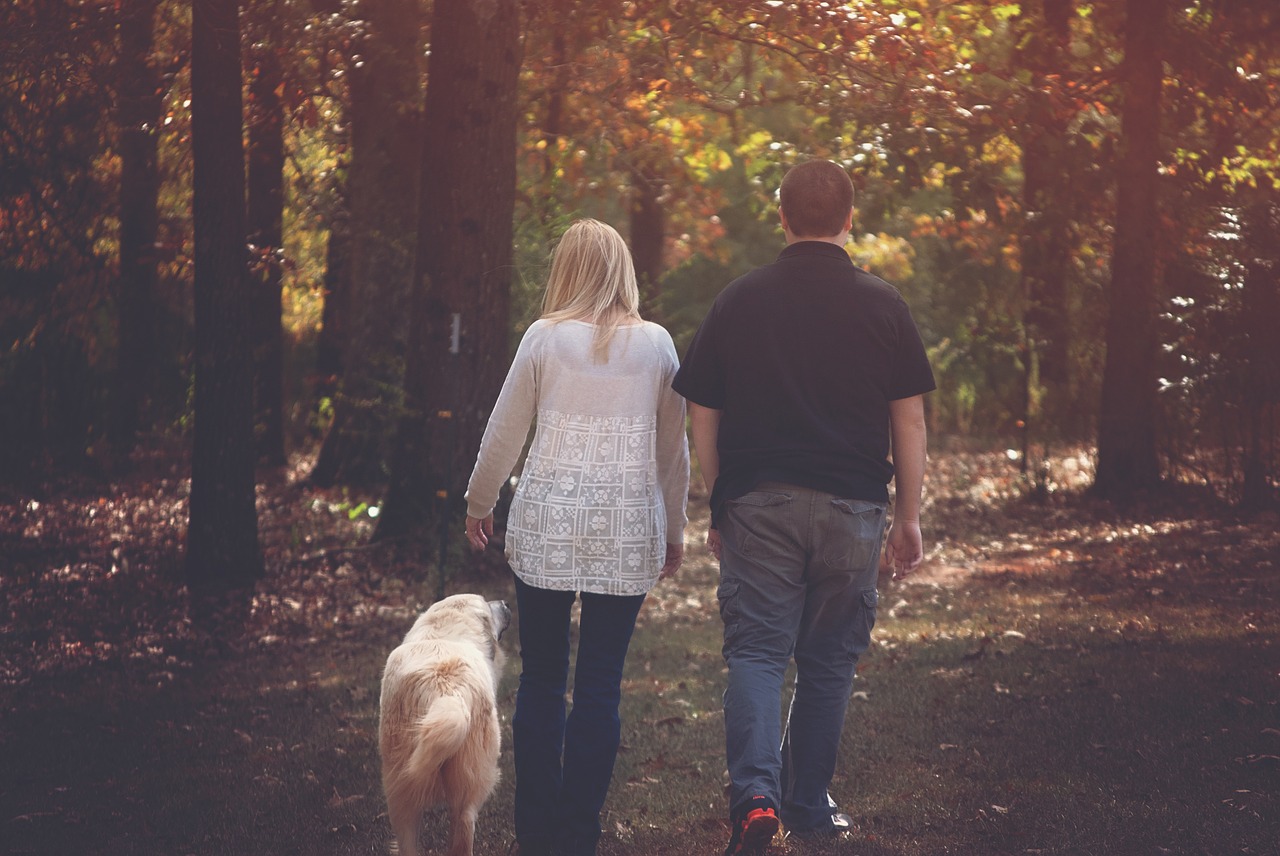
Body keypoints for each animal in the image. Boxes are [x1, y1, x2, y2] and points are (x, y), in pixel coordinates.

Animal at [376, 593, 512, 854]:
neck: (442, 632)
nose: (505, 603)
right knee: (464, 828)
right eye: (487, 604)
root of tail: (446, 690)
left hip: (398, 788)